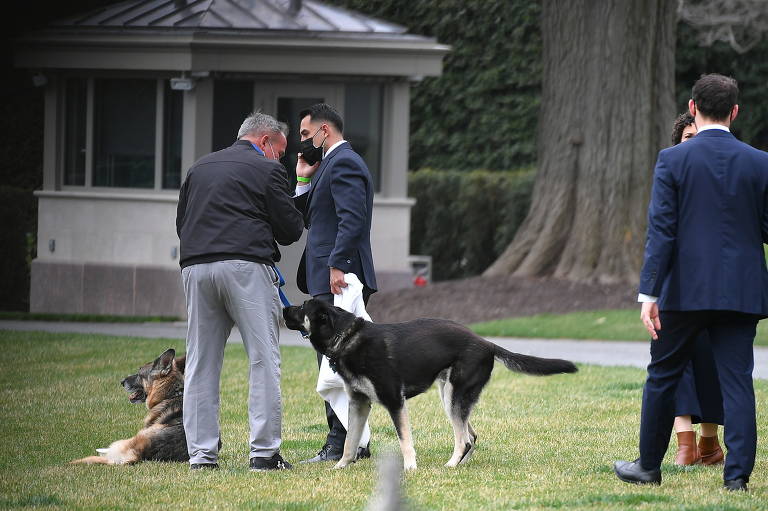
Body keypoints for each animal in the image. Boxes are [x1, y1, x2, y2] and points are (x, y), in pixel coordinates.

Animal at [284, 300, 580, 472]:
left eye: (302, 307)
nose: (284, 308)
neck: (346, 337)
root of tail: (487, 343)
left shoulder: (395, 402)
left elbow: (404, 440)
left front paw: (410, 468)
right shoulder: (359, 404)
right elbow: (349, 441)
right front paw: (341, 466)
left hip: (453, 396)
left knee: (464, 439)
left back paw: (451, 463)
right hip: (451, 396)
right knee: (471, 437)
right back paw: (460, 464)